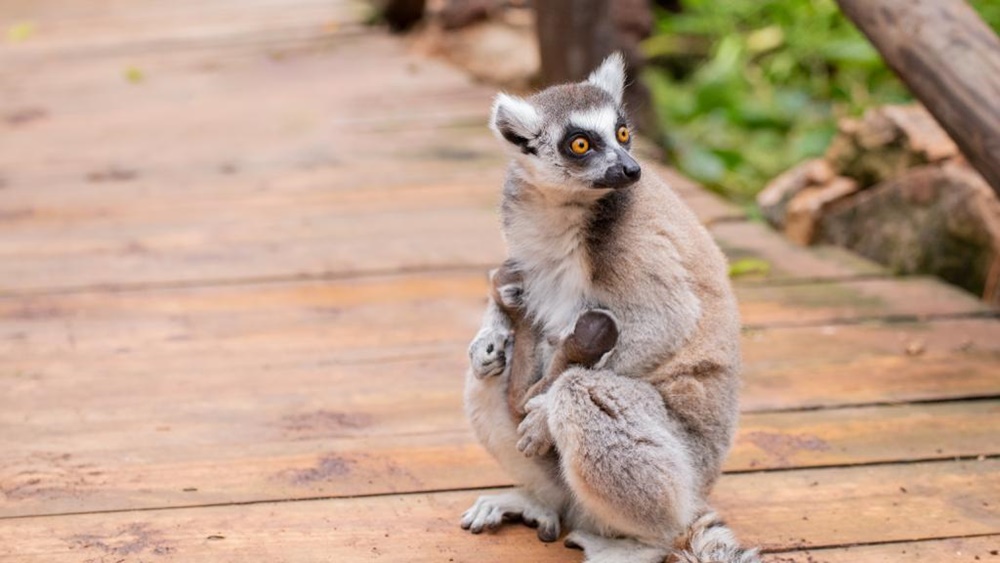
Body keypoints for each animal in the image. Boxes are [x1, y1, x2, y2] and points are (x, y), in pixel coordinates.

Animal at [462, 53, 760, 563]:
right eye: (580, 144)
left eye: (622, 133)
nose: (631, 169)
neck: (563, 208)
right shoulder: (520, 220)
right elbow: (513, 287)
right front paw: (491, 334)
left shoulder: (634, 242)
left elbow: (667, 320)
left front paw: (542, 416)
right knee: (490, 378)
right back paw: (539, 500)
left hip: (685, 464)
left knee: (582, 390)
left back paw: (644, 541)